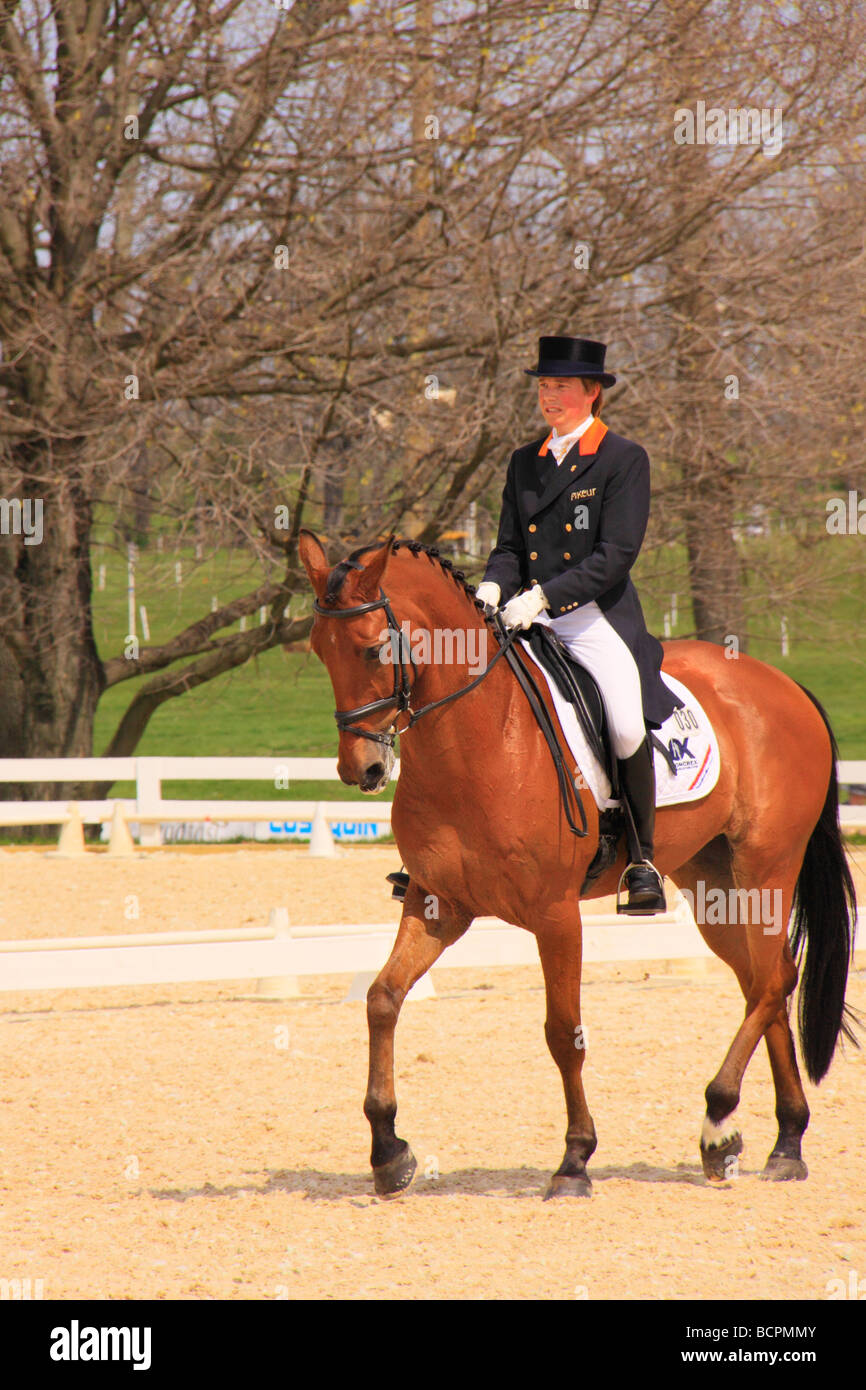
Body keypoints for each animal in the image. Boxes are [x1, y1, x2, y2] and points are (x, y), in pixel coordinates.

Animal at [297, 525, 861, 1200]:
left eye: (373, 649)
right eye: (317, 650)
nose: (362, 770)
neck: (477, 736)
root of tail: (785, 685)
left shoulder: (555, 914)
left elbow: (563, 1033)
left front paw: (574, 1159)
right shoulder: (438, 903)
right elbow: (382, 998)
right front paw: (388, 1152)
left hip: (764, 868)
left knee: (773, 982)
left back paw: (718, 1117)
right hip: (714, 883)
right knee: (765, 980)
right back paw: (781, 1142)